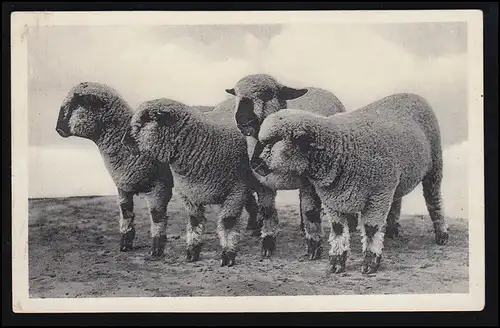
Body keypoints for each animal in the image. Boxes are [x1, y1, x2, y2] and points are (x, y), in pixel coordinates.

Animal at [54, 81, 174, 258]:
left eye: (76, 104)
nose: (58, 129)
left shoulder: (160, 186)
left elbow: (157, 216)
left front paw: (157, 249)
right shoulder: (122, 185)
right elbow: (126, 213)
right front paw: (125, 244)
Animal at [121, 97, 270, 266]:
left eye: (143, 122)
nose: (123, 141)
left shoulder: (236, 192)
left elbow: (227, 223)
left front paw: (228, 254)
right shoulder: (189, 194)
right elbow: (194, 222)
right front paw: (192, 252)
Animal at [225, 73, 362, 258]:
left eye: (267, 94)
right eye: (236, 95)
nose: (243, 121)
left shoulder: (309, 182)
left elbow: (311, 212)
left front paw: (313, 246)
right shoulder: (264, 183)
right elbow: (267, 211)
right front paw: (267, 244)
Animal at [252, 93, 452, 274]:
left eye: (273, 141)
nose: (254, 164)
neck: (340, 148)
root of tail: (413, 95)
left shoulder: (377, 195)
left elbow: (371, 229)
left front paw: (371, 263)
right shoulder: (333, 200)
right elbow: (338, 230)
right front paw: (337, 262)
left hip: (434, 167)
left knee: (434, 200)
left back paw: (441, 234)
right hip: (397, 179)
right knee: (397, 199)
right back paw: (392, 231)